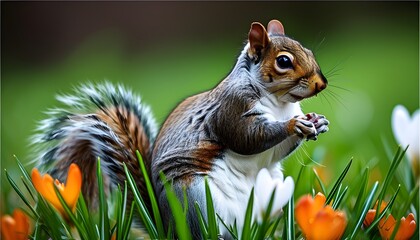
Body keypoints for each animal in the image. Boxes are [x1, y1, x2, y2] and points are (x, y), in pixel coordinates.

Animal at [32, 19, 328, 239]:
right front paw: (294, 125)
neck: (280, 103)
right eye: (284, 62)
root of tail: (165, 226)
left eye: (310, 52)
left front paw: (317, 121)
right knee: (199, 232)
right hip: (194, 198)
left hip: (271, 193)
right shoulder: (230, 110)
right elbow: (247, 138)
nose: (321, 83)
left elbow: (276, 151)